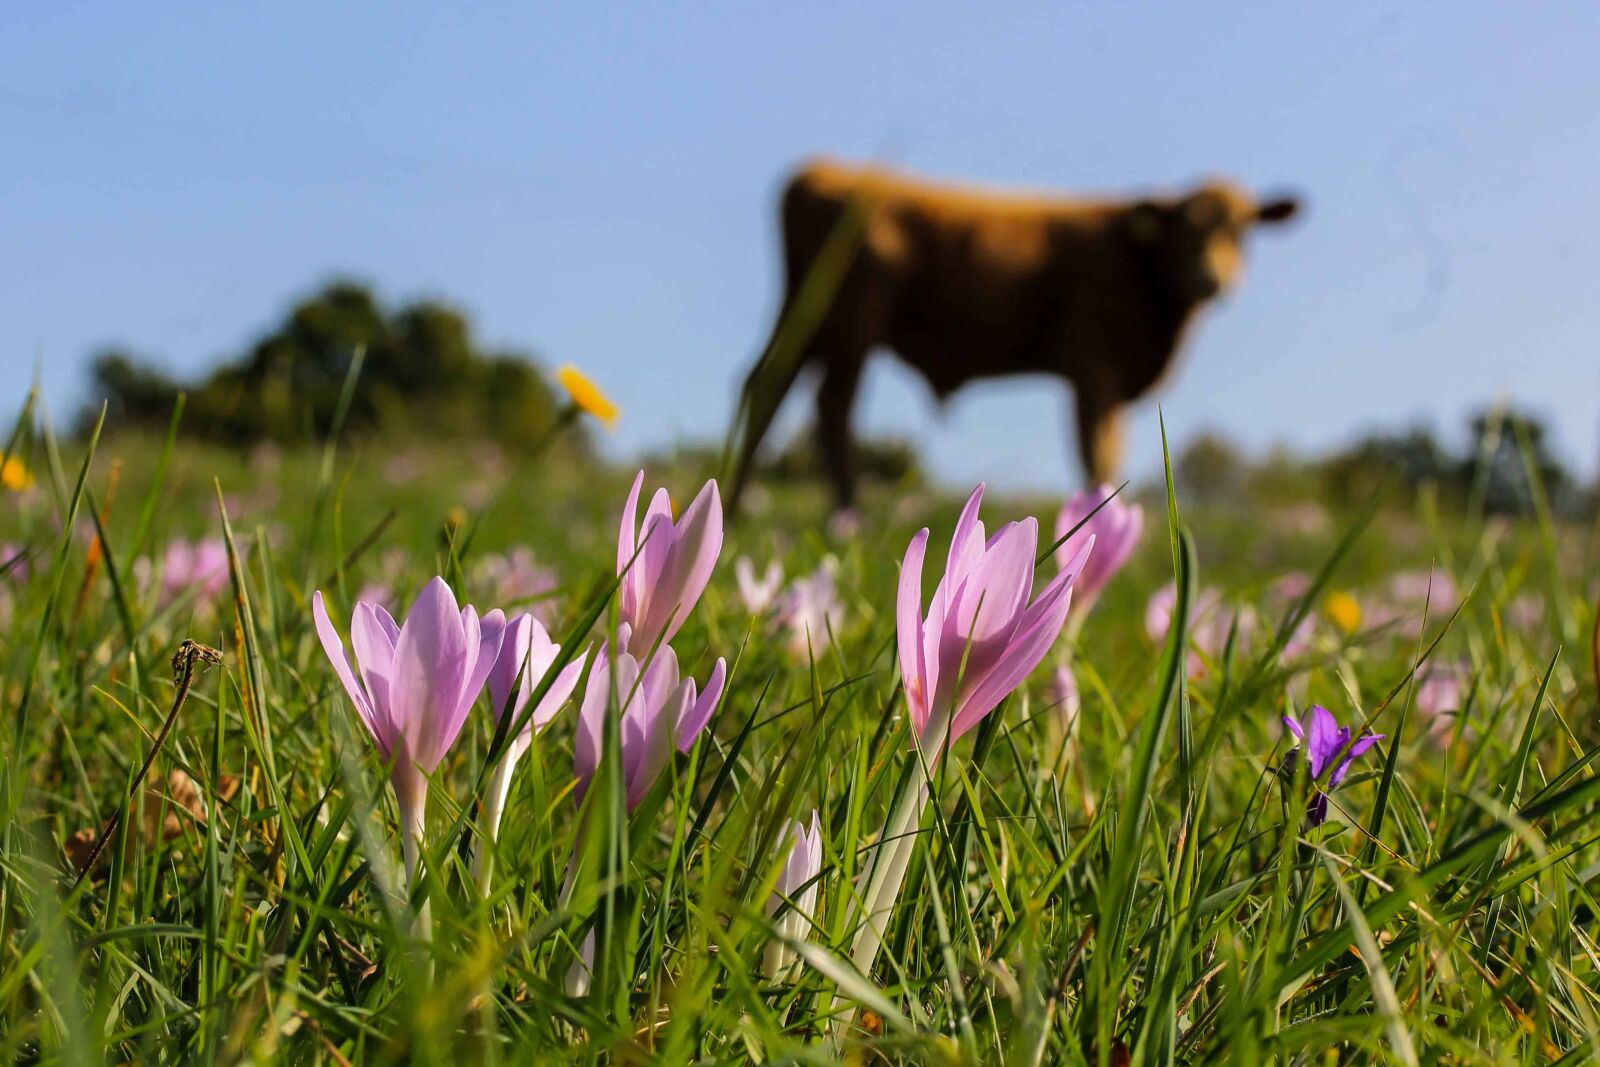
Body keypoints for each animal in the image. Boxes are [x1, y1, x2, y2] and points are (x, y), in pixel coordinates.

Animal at [727, 158, 1301, 512]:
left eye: (1243, 231)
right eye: (1185, 230)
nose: (1212, 280)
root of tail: (823, 169)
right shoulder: (1093, 365)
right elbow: (1097, 453)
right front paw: (1097, 514)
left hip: (804, 314)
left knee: (767, 386)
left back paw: (740, 509)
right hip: (853, 320)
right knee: (833, 405)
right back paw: (845, 517)